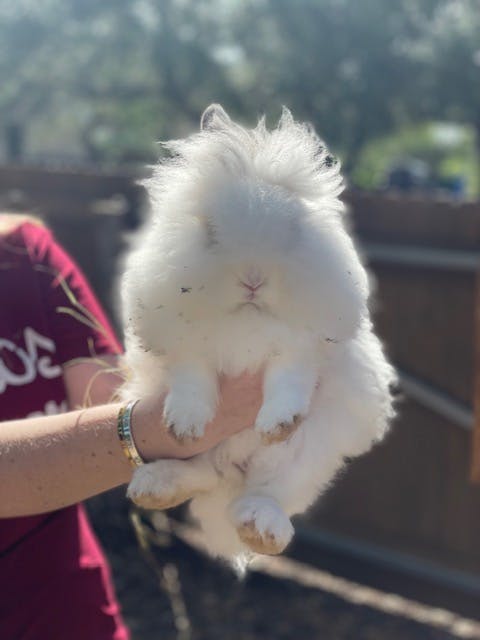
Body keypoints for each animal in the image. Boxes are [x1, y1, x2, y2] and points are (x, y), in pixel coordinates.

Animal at [120, 104, 396, 562]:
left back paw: (262, 528)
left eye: (293, 229)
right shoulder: (188, 347)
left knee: (268, 493)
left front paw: (278, 422)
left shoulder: (299, 352)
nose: (253, 279)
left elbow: (288, 383)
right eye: (210, 232)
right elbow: (192, 380)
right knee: (203, 472)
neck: (246, 318)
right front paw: (185, 423)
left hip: (306, 454)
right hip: (210, 457)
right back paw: (155, 485)